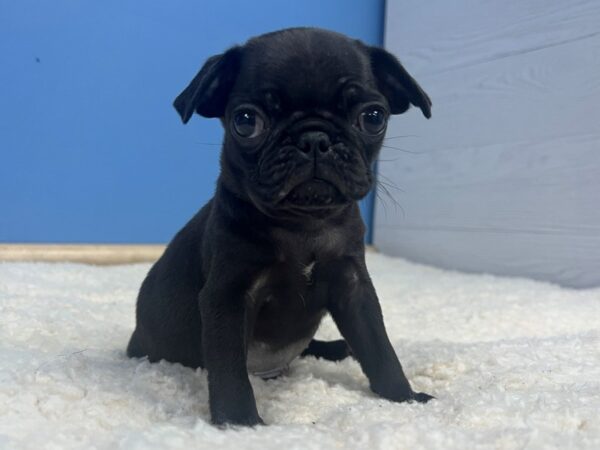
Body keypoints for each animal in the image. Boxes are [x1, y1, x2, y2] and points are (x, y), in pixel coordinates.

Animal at [127, 26, 432, 428]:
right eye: (246, 121)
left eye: (373, 117)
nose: (315, 139)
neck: (304, 226)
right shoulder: (228, 296)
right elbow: (229, 370)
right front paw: (240, 424)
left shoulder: (353, 287)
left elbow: (380, 348)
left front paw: (405, 398)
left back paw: (338, 347)